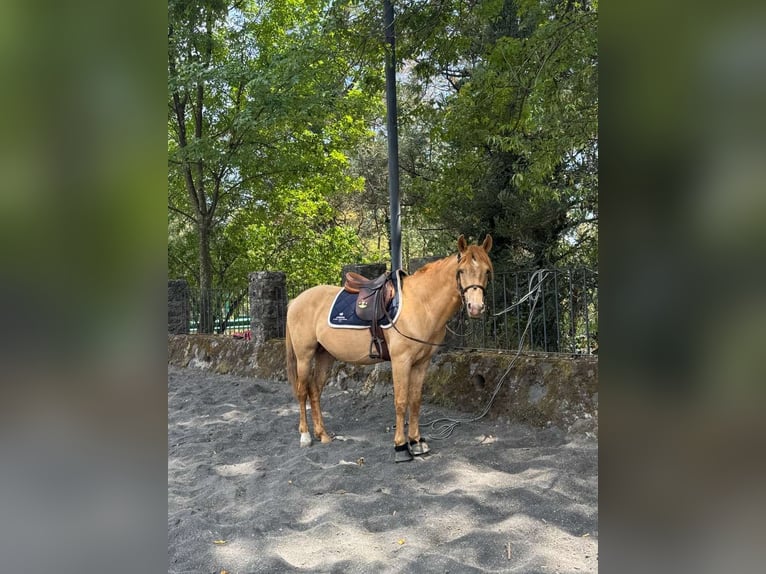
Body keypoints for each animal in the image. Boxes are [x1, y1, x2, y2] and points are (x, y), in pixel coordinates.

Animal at [285, 234, 493, 462]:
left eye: (487, 271)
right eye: (461, 271)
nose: (476, 308)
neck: (421, 304)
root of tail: (296, 300)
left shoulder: (421, 363)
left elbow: (415, 401)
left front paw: (416, 442)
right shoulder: (401, 361)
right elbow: (401, 402)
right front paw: (401, 447)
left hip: (325, 356)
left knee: (315, 390)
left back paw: (322, 434)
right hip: (304, 357)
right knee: (302, 391)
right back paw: (306, 436)